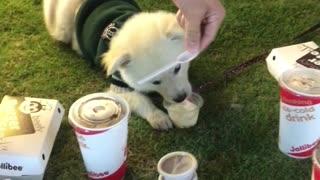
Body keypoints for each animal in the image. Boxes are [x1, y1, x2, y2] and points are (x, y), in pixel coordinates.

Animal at [42, 0, 192, 129]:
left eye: (177, 68)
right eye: (155, 82)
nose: (181, 98)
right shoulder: (118, 87)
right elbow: (140, 100)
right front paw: (157, 116)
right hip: (61, 27)